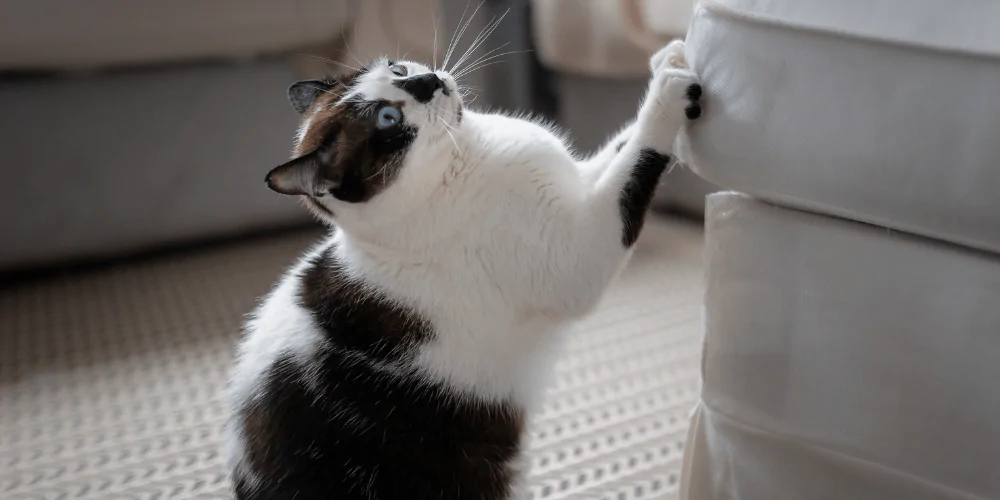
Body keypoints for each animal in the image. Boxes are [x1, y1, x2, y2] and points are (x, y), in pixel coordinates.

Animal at [225, 40, 704, 500]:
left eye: (398, 69)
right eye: (387, 119)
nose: (426, 81)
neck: (467, 156)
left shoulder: (579, 183)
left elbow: (619, 148)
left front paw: (668, 59)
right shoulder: (577, 255)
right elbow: (635, 165)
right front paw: (666, 96)